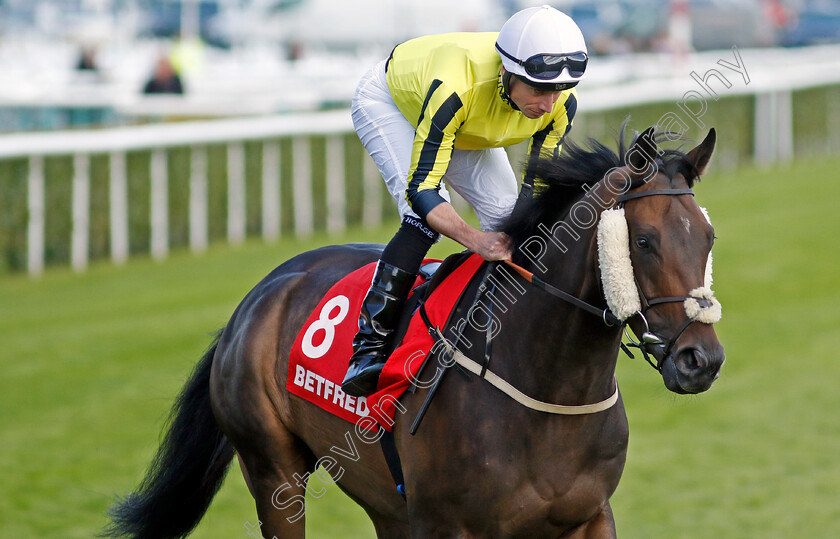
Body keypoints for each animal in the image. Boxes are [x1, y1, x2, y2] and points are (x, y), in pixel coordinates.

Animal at [103, 124, 720, 536]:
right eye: (644, 241)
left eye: (709, 236)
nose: (702, 360)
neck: (549, 393)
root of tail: (254, 300)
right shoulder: (446, 525)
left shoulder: (587, 517)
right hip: (273, 471)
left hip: (382, 499)